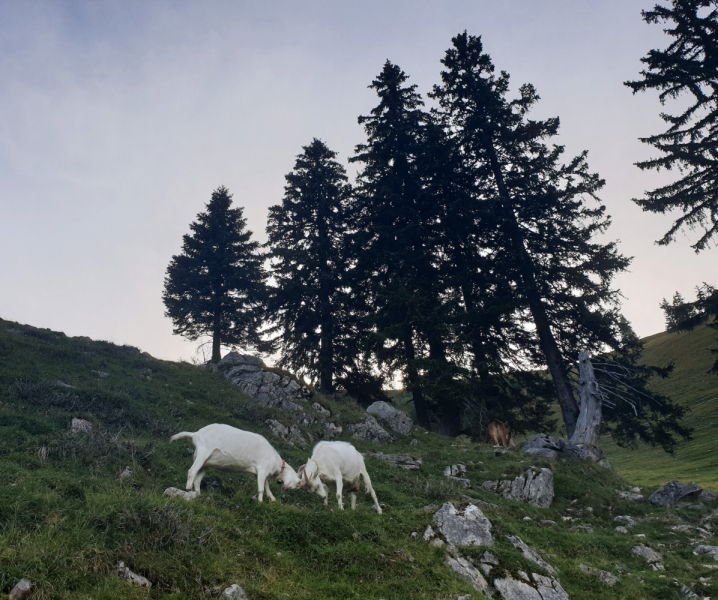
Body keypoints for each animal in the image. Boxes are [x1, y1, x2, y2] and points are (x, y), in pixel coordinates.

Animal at [172, 422, 300, 502]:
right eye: (298, 482)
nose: (287, 488)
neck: (276, 463)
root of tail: (196, 434)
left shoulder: (259, 473)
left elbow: (266, 485)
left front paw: (272, 499)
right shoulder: (263, 469)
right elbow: (261, 488)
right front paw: (260, 502)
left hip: (206, 463)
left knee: (198, 480)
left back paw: (198, 494)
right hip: (203, 453)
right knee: (192, 471)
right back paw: (188, 489)